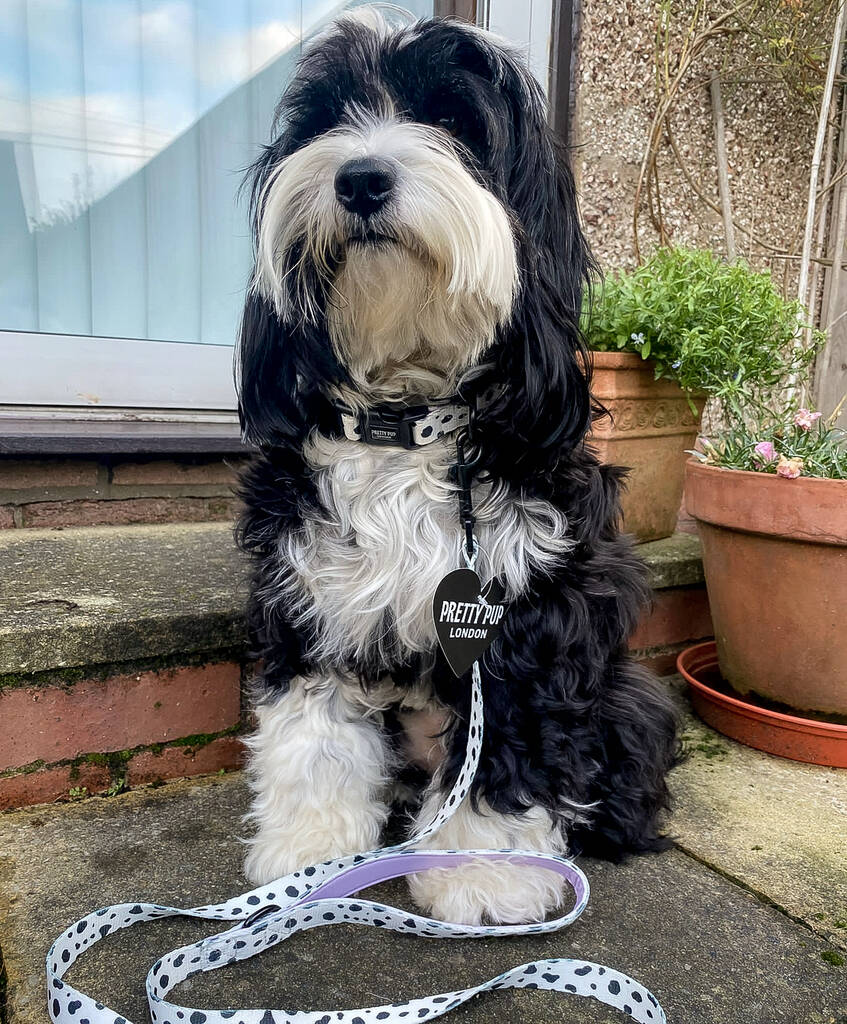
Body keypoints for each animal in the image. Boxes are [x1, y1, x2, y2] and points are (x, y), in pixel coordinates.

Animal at [235, 6, 680, 929]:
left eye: (452, 121)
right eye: (324, 122)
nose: (360, 179)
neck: (407, 424)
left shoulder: (531, 617)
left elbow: (511, 745)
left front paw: (484, 875)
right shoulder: (308, 593)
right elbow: (313, 730)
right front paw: (309, 852)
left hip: (630, 697)